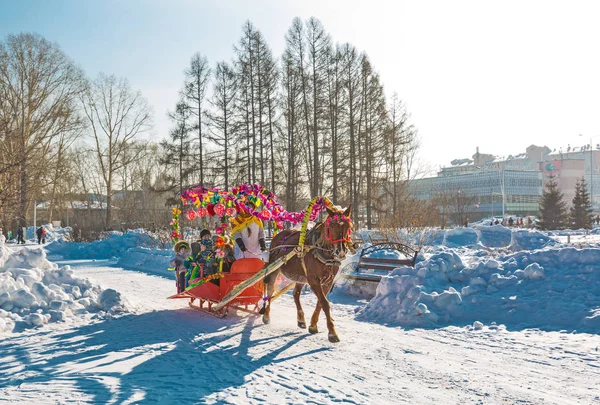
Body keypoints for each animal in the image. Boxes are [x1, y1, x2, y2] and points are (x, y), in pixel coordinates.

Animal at [262, 205, 352, 340]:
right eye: (331, 226)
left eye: (348, 226)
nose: (340, 251)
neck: (322, 252)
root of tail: (278, 237)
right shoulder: (313, 280)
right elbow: (324, 303)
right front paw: (332, 332)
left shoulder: (328, 281)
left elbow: (320, 302)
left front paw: (313, 325)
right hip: (274, 269)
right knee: (270, 290)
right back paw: (266, 315)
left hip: (301, 277)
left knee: (295, 294)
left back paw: (300, 319)